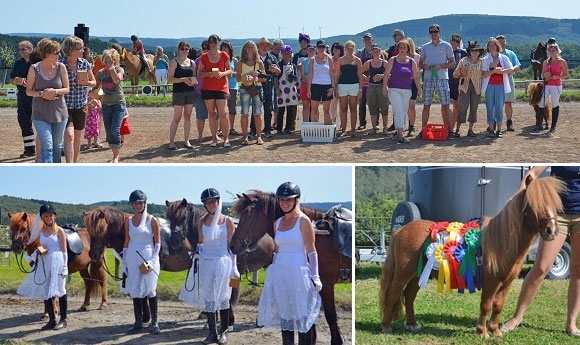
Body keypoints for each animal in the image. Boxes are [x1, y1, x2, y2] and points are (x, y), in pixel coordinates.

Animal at [378, 176, 564, 338]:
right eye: (533, 204)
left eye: (554, 204)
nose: (552, 231)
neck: (499, 240)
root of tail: (401, 231)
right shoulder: (491, 282)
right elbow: (486, 306)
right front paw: (482, 332)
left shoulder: (506, 283)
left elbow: (498, 306)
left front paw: (496, 331)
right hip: (403, 273)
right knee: (393, 293)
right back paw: (386, 327)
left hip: (418, 274)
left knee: (409, 295)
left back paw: (412, 324)